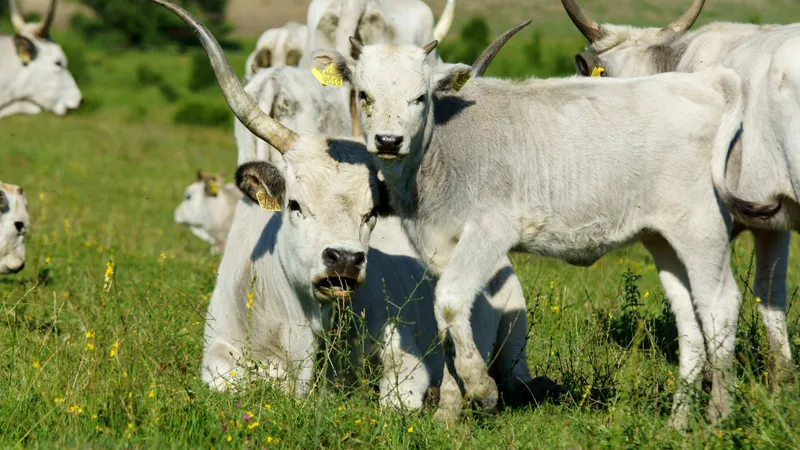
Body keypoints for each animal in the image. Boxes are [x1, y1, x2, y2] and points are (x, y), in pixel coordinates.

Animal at [152, 0, 556, 410]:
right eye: (294, 204)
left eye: (372, 212)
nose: (344, 259)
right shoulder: (218, 352)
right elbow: (226, 384)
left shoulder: (407, 359)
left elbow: (396, 400)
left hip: (513, 329)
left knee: (516, 378)